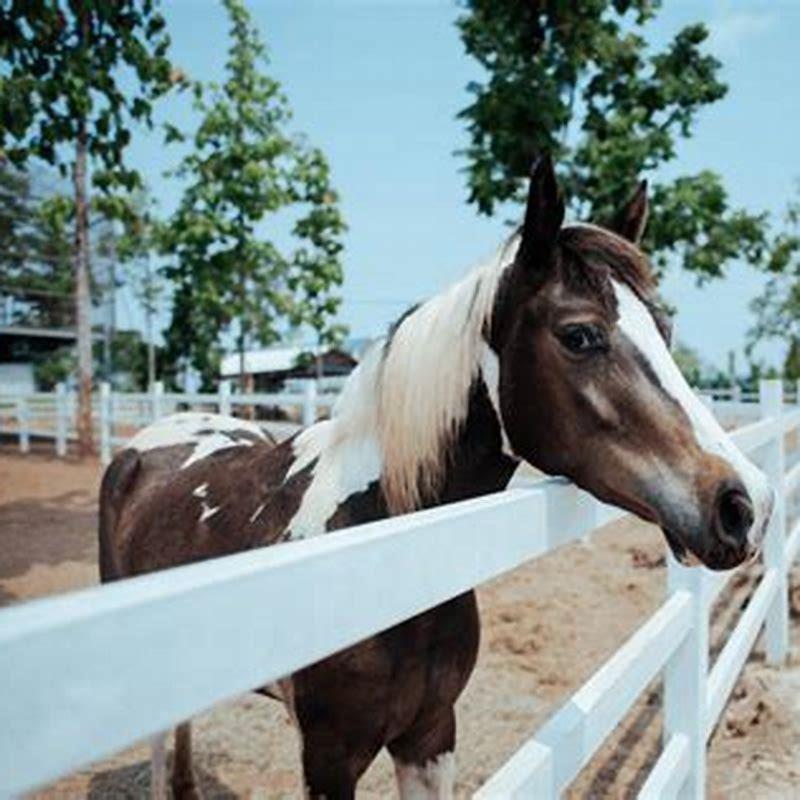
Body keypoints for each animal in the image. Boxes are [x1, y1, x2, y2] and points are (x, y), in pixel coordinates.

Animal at [98, 156, 773, 799]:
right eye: (579, 335)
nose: (747, 503)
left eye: (666, 332)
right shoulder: (328, 757)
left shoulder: (430, 734)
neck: (385, 545)